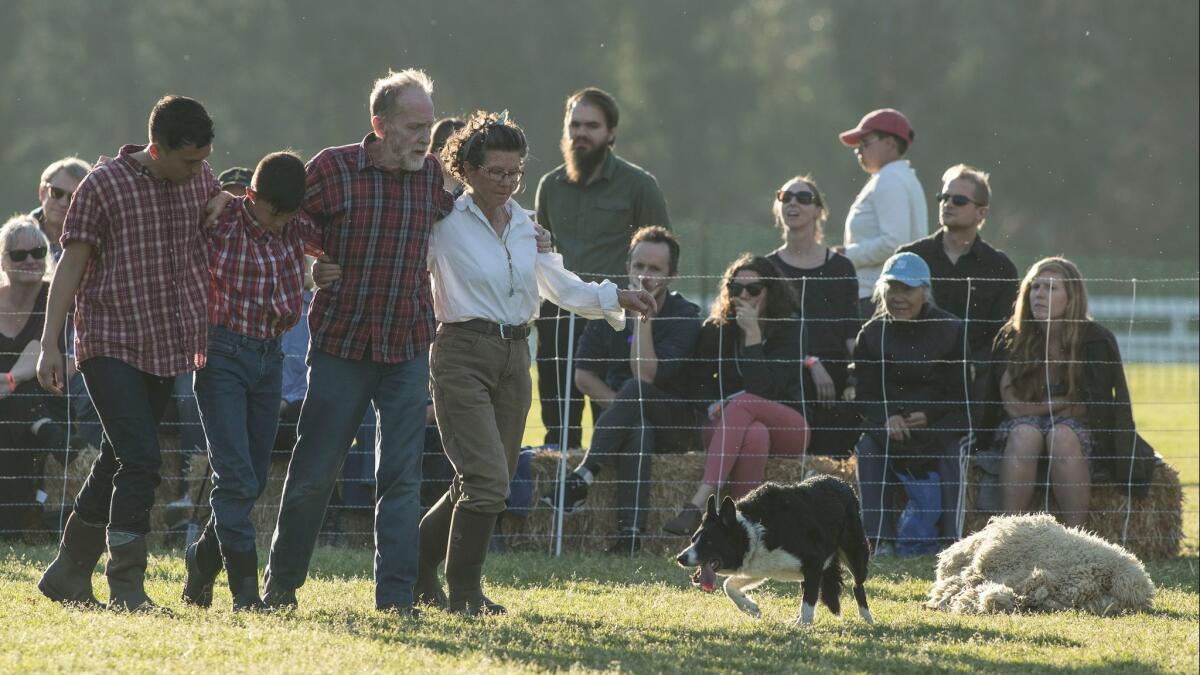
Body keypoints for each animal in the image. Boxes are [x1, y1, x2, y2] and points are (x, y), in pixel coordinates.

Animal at [676, 475, 873, 624]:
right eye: (693, 540)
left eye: (709, 542)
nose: (680, 558)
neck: (756, 530)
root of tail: (843, 483)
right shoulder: (760, 567)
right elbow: (728, 585)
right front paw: (751, 608)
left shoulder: (814, 562)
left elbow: (809, 601)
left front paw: (803, 625)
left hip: (855, 553)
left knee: (857, 585)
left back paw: (867, 618)